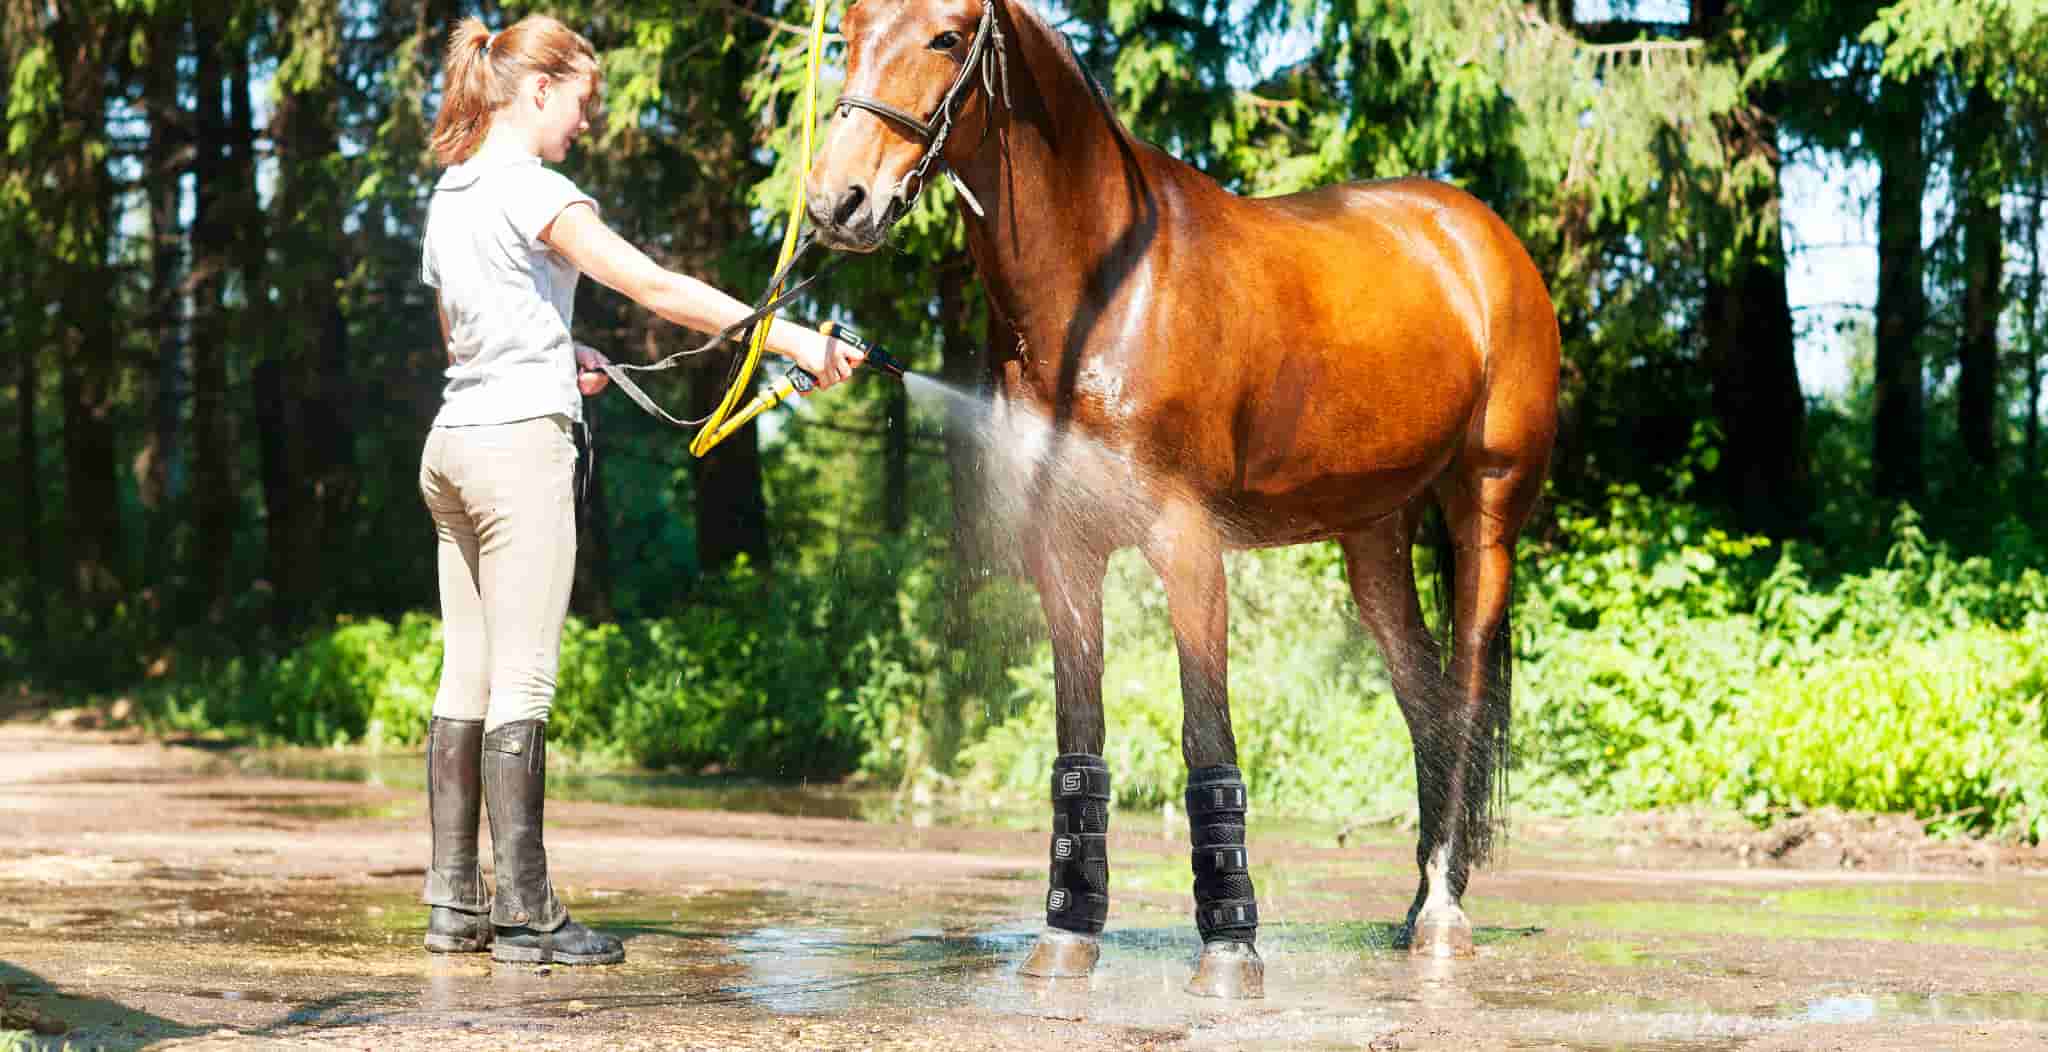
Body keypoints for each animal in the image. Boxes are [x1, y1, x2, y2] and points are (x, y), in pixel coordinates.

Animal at [805, 0, 1560, 998]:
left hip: (1487, 512)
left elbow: (1206, 736)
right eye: (847, 32)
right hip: (1373, 536)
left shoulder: (1187, 543)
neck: (1103, 293)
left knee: (1467, 691)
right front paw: (1067, 936)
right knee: (1421, 695)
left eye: (945, 36)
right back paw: (1418, 905)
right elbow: (1079, 740)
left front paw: (1231, 950)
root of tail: (1479, 235)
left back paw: (1441, 914)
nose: (837, 203)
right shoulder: (1063, 551)